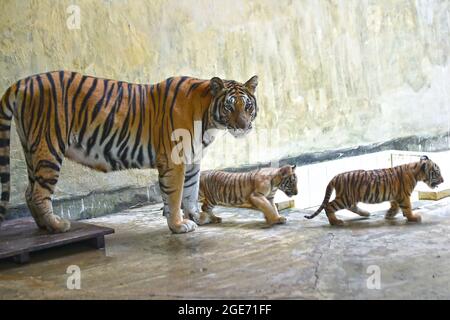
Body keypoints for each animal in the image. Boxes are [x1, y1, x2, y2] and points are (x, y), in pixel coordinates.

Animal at [0, 72, 258, 232]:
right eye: (229, 107)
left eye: (248, 105)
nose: (244, 126)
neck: (209, 120)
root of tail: (22, 82)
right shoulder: (174, 160)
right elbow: (175, 195)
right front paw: (178, 225)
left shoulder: (193, 159)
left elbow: (191, 192)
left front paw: (197, 217)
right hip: (49, 147)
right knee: (38, 193)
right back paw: (58, 226)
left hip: (32, 148)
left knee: (28, 191)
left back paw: (44, 227)